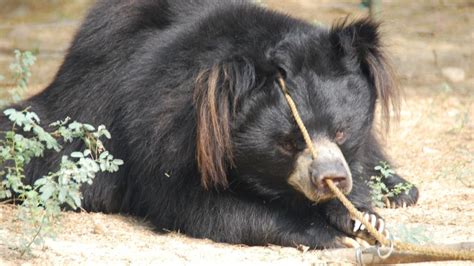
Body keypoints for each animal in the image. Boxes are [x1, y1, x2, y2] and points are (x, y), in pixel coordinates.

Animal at [2, 0, 418, 249]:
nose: (332, 179)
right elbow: (200, 207)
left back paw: (401, 190)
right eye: (288, 143)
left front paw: (363, 218)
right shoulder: (165, 137)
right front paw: (327, 233)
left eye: (341, 131)